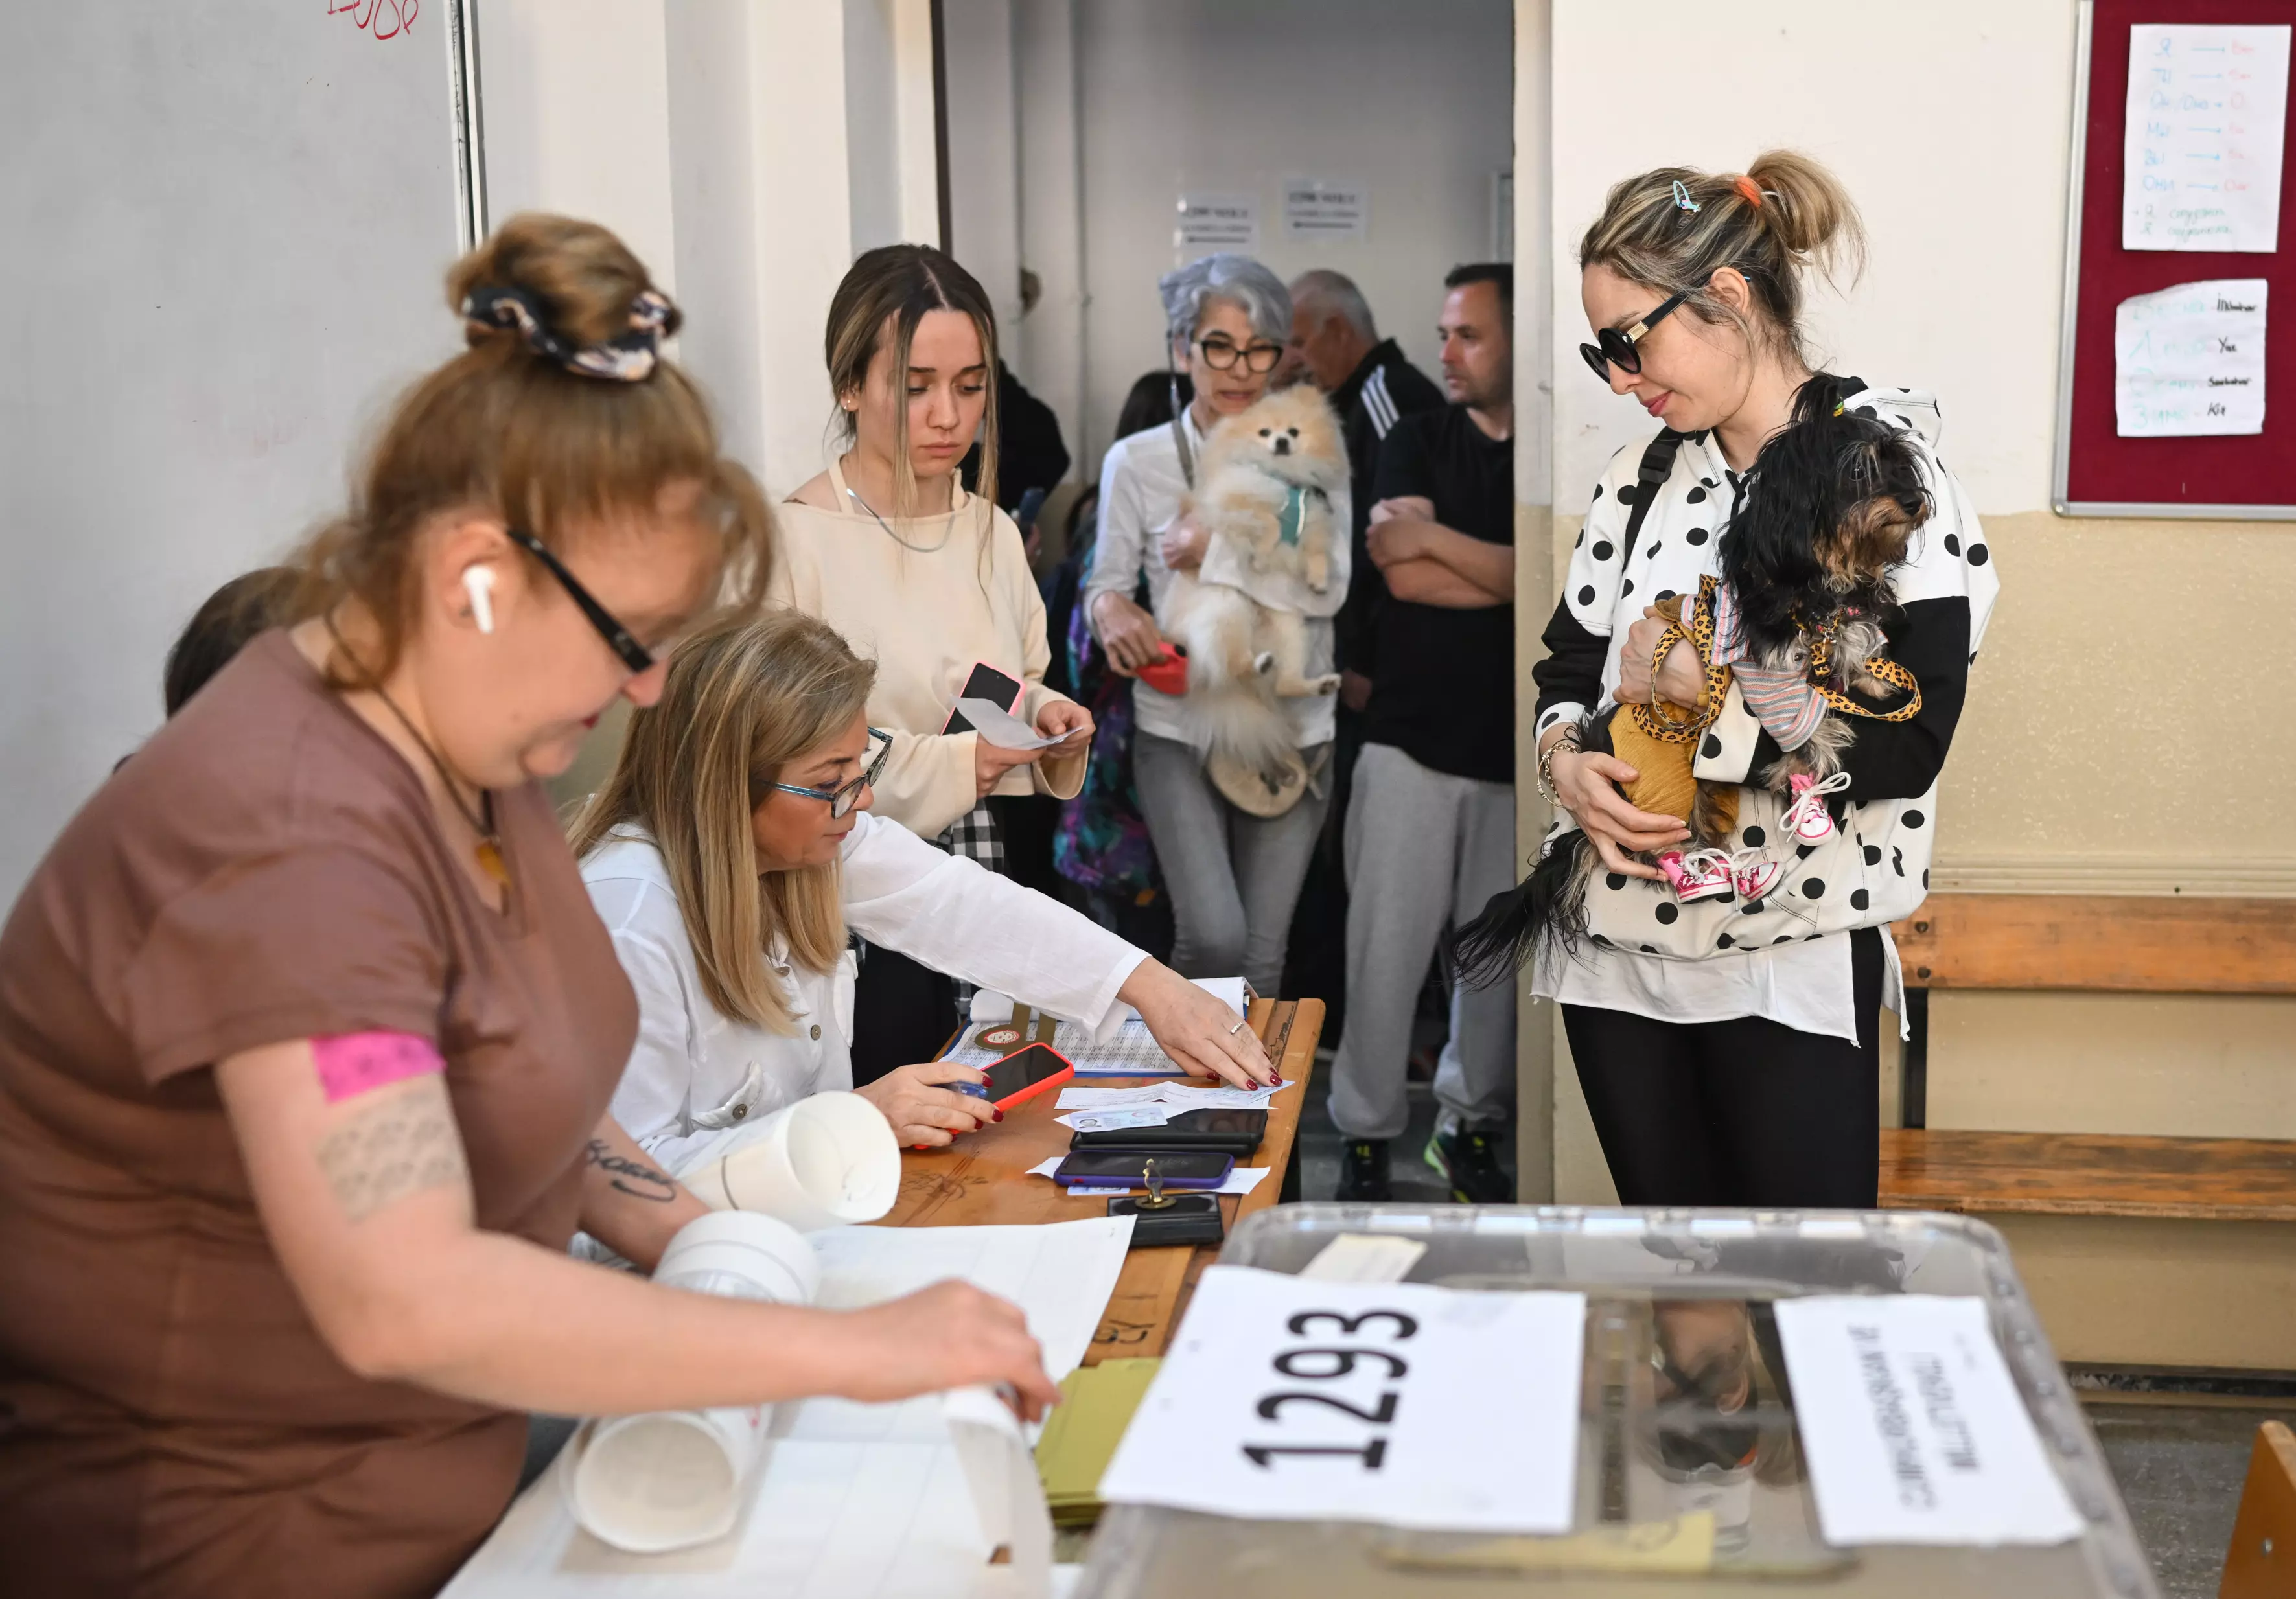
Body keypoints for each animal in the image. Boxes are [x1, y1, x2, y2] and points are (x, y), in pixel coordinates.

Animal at [1157, 387, 1350, 784]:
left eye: (1293, 431)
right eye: (1264, 433)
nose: (1281, 441)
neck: (1284, 478)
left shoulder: (1314, 518)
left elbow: (1316, 551)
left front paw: (1319, 581)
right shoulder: (1235, 500)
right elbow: (1267, 521)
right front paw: (1261, 556)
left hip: (1289, 627)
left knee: (1284, 683)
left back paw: (1313, 683)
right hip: (1226, 606)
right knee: (1231, 663)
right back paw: (1254, 664)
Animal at [1460, 392, 1929, 977]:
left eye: (1901, 465)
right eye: (1860, 471)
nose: (1913, 500)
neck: (1816, 574)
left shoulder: (1834, 625)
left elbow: (1852, 647)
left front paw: (1872, 679)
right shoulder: (1766, 673)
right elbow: (1799, 728)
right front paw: (1816, 756)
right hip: (1660, 791)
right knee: (1662, 847)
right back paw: (1696, 872)